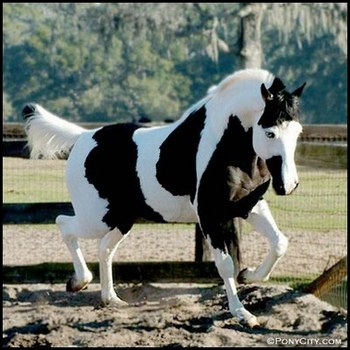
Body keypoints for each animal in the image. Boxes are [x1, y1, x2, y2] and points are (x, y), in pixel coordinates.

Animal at [23, 68, 304, 328]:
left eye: (298, 132)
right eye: (270, 133)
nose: (288, 185)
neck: (226, 146)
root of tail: (82, 138)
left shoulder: (249, 205)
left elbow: (280, 243)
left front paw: (249, 275)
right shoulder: (210, 214)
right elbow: (225, 265)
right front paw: (243, 314)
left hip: (122, 218)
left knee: (104, 248)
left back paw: (111, 298)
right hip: (97, 217)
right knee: (64, 224)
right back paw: (78, 282)